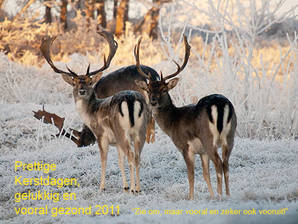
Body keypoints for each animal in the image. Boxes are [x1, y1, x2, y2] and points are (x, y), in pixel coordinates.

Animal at [39, 30, 150, 193]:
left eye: (90, 81)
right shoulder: (116, 143)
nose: (82, 90)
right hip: (140, 130)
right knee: (137, 157)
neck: (90, 114)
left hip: (122, 131)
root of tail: (131, 100)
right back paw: (138, 188)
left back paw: (133, 189)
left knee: (131, 156)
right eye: (74, 82)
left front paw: (102, 187)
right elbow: (120, 161)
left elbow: (103, 160)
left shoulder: (101, 135)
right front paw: (124, 186)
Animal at [134, 36, 236, 200]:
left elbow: (191, 175)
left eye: (164, 89)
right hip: (230, 135)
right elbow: (205, 174)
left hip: (209, 138)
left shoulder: (184, 146)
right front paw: (211, 195)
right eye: (148, 90)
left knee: (219, 164)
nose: (153, 101)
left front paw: (191, 198)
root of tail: (220, 104)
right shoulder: (202, 152)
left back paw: (221, 196)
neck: (172, 123)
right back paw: (227, 195)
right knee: (226, 165)